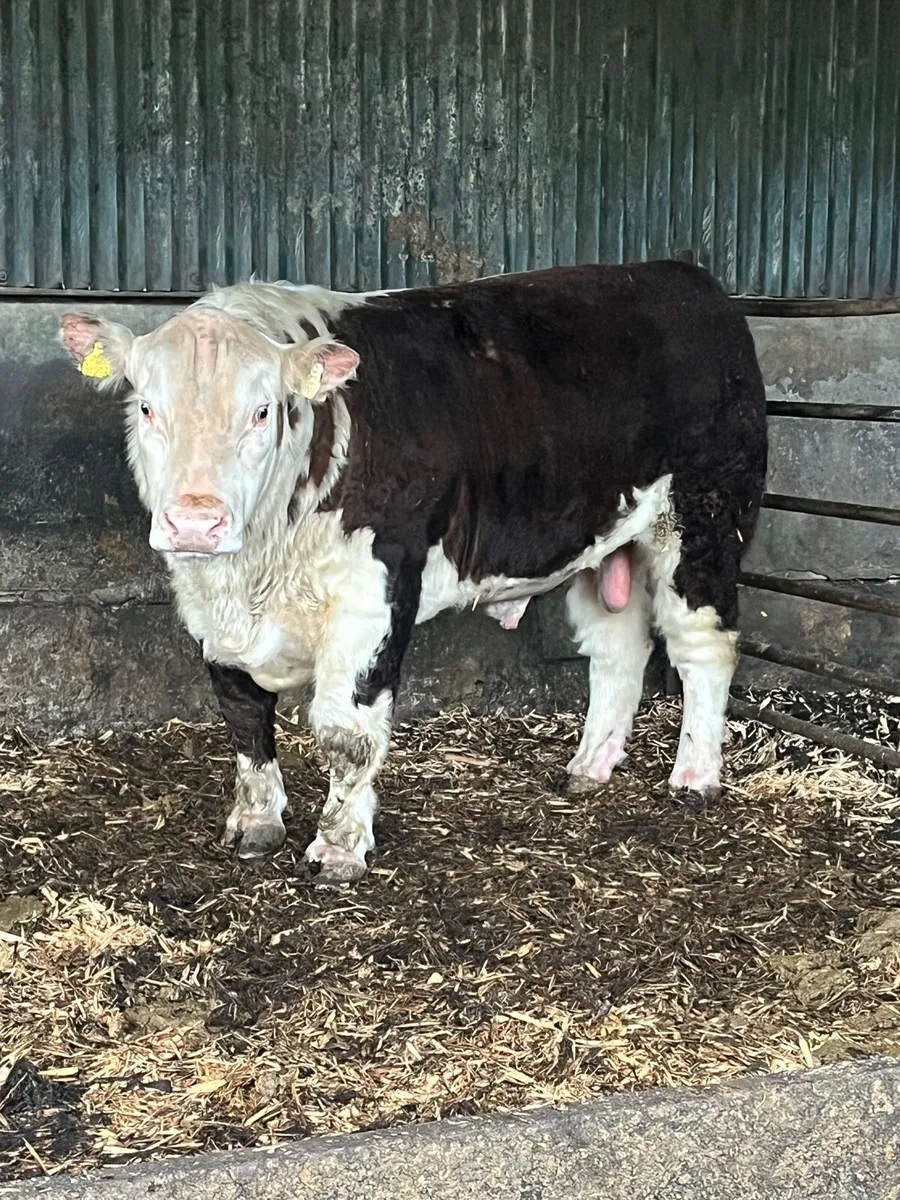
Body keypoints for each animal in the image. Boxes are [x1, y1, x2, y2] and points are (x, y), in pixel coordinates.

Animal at [60, 262, 767, 886]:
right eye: (146, 407)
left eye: (263, 410)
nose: (195, 521)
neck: (257, 567)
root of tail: (681, 274)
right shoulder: (209, 608)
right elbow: (242, 711)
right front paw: (257, 821)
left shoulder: (376, 593)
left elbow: (345, 733)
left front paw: (338, 849)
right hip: (601, 542)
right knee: (617, 648)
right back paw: (588, 767)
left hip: (702, 522)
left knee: (703, 646)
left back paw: (695, 778)